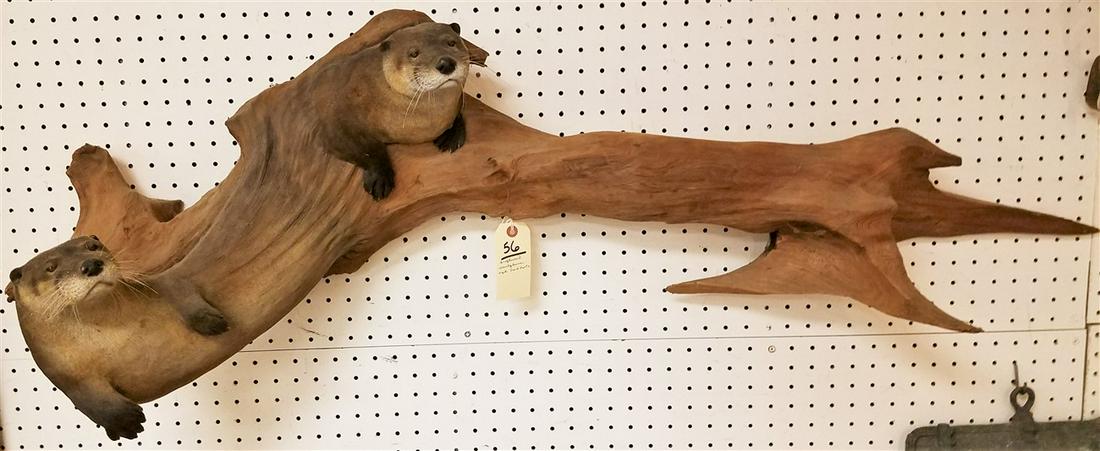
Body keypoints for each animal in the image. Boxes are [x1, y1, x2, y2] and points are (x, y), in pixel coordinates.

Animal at [318, 21, 471, 200]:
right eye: (413, 53)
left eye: (451, 43)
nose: (446, 63)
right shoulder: (337, 122)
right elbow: (367, 150)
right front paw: (380, 178)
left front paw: (451, 136)